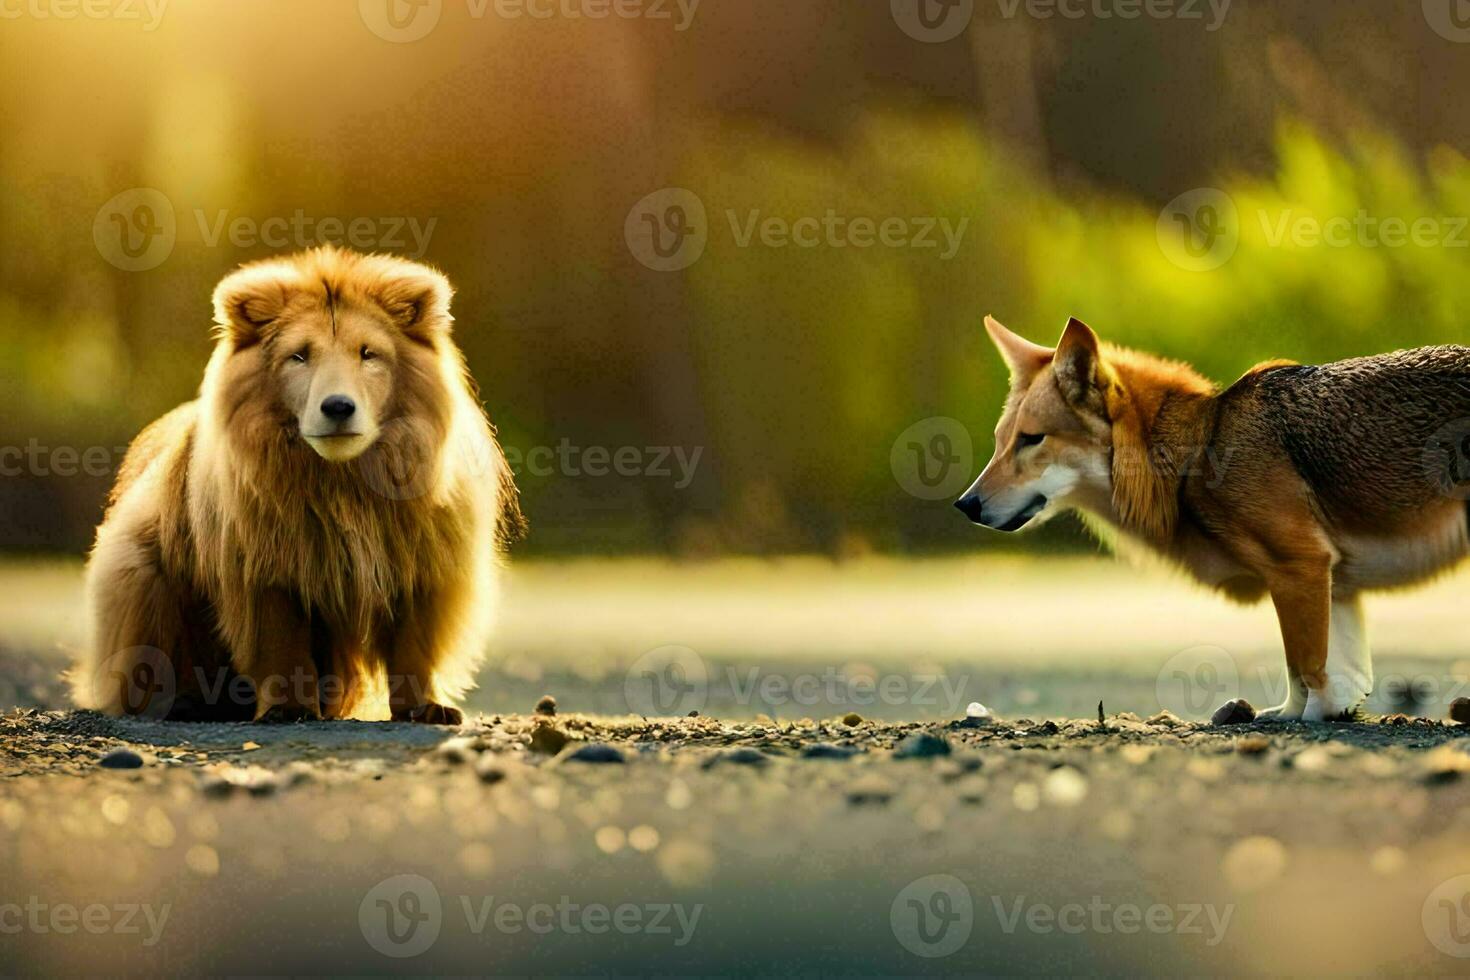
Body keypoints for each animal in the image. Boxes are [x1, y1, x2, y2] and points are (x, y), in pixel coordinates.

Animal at [74, 246, 526, 719]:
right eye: (299, 355)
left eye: (368, 353)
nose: (338, 406)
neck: (342, 478)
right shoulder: (263, 561)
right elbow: (281, 642)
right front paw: (289, 707)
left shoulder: (424, 556)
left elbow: (415, 643)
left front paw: (426, 708)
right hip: (138, 570)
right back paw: (184, 701)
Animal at [958, 318, 1470, 725]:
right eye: (1001, 441)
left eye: (1032, 439)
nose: (965, 505)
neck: (1198, 450)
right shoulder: (1332, 580)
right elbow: (1330, 676)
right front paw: (1301, 714)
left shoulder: (1299, 567)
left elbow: (1305, 666)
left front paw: (1300, 719)